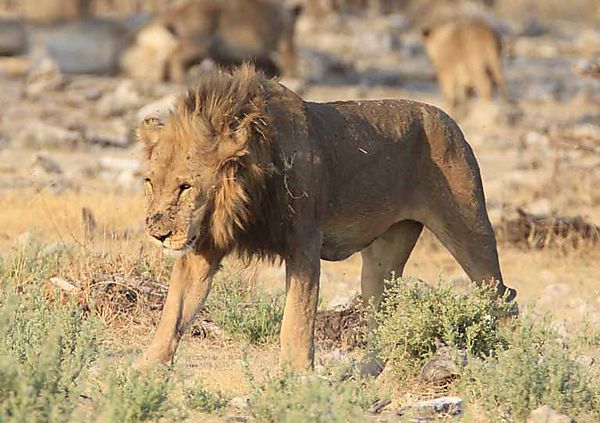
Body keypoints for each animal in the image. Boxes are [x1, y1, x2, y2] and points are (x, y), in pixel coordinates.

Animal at [135, 65, 516, 372]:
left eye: (186, 186)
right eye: (150, 182)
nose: (157, 233)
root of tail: (449, 119)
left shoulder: (304, 244)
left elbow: (297, 317)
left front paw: (296, 374)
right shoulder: (202, 246)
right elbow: (174, 312)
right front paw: (146, 369)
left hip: (468, 225)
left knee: (501, 294)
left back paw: (508, 359)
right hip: (382, 259)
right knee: (380, 307)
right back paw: (369, 369)